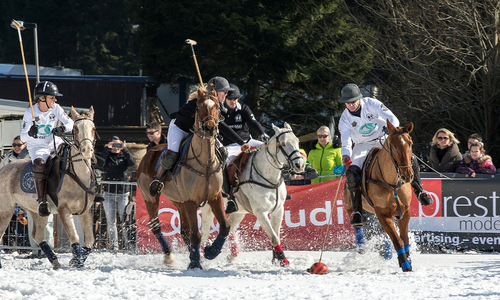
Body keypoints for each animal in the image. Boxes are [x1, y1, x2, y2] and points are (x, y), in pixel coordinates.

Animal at [0, 107, 97, 270]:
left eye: (93, 128)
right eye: (76, 128)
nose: (87, 150)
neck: (77, 174)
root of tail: (3, 167)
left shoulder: (86, 210)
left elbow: (90, 241)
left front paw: (76, 261)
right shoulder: (64, 210)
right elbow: (75, 236)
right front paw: (76, 261)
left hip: (37, 211)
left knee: (37, 235)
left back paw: (55, 261)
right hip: (6, 208)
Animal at [138, 87, 229, 270]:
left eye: (217, 107)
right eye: (199, 107)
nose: (209, 128)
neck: (205, 163)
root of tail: (148, 152)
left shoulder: (215, 197)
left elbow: (224, 226)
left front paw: (211, 252)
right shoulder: (190, 201)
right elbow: (196, 234)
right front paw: (195, 264)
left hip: (178, 201)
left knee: (184, 231)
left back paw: (193, 255)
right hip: (150, 197)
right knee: (156, 225)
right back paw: (169, 256)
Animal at [200, 123, 302, 266]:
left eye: (297, 141)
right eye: (283, 143)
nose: (300, 165)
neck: (270, 177)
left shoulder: (278, 209)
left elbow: (275, 235)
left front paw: (276, 259)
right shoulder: (260, 212)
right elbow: (274, 237)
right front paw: (283, 260)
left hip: (239, 211)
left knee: (229, 228)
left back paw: (228, 254)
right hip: (208, 208)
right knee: (203, 234)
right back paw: (204, 257)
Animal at [344, 119, 414, 272]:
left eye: (410, 143)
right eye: (393, 147)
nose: (407, 175)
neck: (392, 183)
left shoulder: (405, 212)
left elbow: (405, 240)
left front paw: (407, 262)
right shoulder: (381, 213)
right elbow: (398, 241)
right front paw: (405, 264)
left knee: (385, 233)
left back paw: (386, 252)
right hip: (350, 205)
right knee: (357, 223)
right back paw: (362, 246)